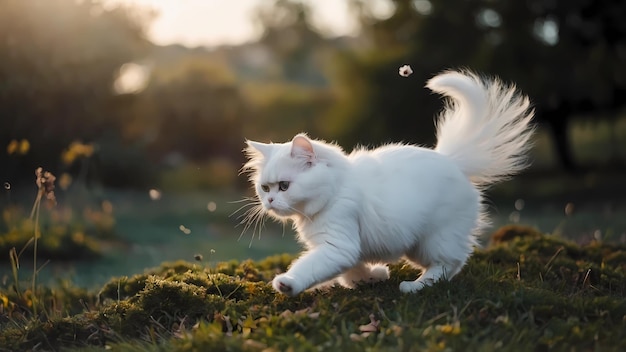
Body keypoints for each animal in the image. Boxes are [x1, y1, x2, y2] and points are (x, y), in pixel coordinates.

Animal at [239, 70, 532, 296]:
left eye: (284, 186)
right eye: (265, 188)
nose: (270, 200)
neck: (335, 189)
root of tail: (451, 160)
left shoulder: (338, 244)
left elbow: (311, 267)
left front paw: (288, 284)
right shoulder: (347, 247)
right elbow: (350, 270)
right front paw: (370, 277)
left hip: (435, 238)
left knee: (449, 263)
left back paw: (415, 287)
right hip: (418, 244)